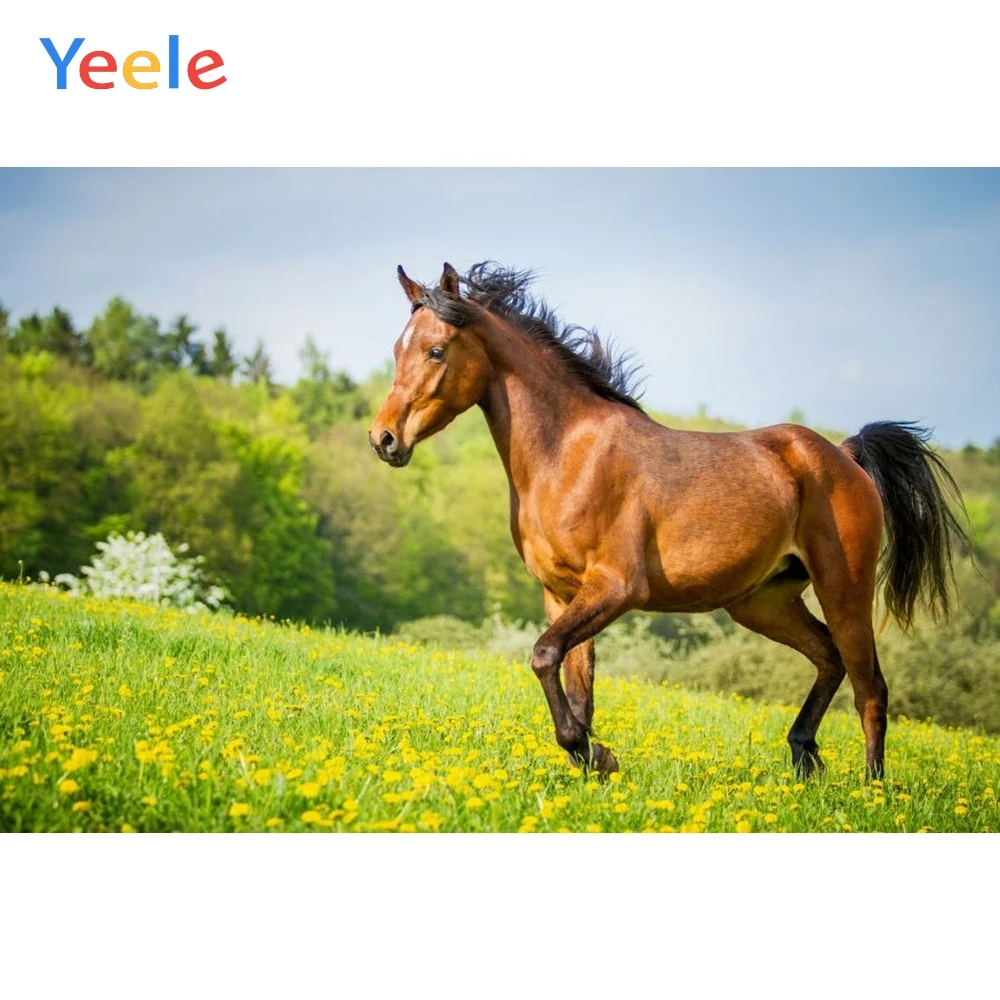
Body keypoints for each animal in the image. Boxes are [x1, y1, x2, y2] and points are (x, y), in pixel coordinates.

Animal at [369, 261, 970, 778]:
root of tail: (844, 456)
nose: (384, 439)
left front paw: (595, 755)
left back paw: (872, 790)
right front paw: (594, 761)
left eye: (436, 350)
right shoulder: (562, 594)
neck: (569, 454)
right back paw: (805, 758)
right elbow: (575, 686)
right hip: (763, 602)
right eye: (398, 350)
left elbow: (543, 657)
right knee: (829, 658)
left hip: (844, 588)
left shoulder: (616, 587)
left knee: (871, 689)